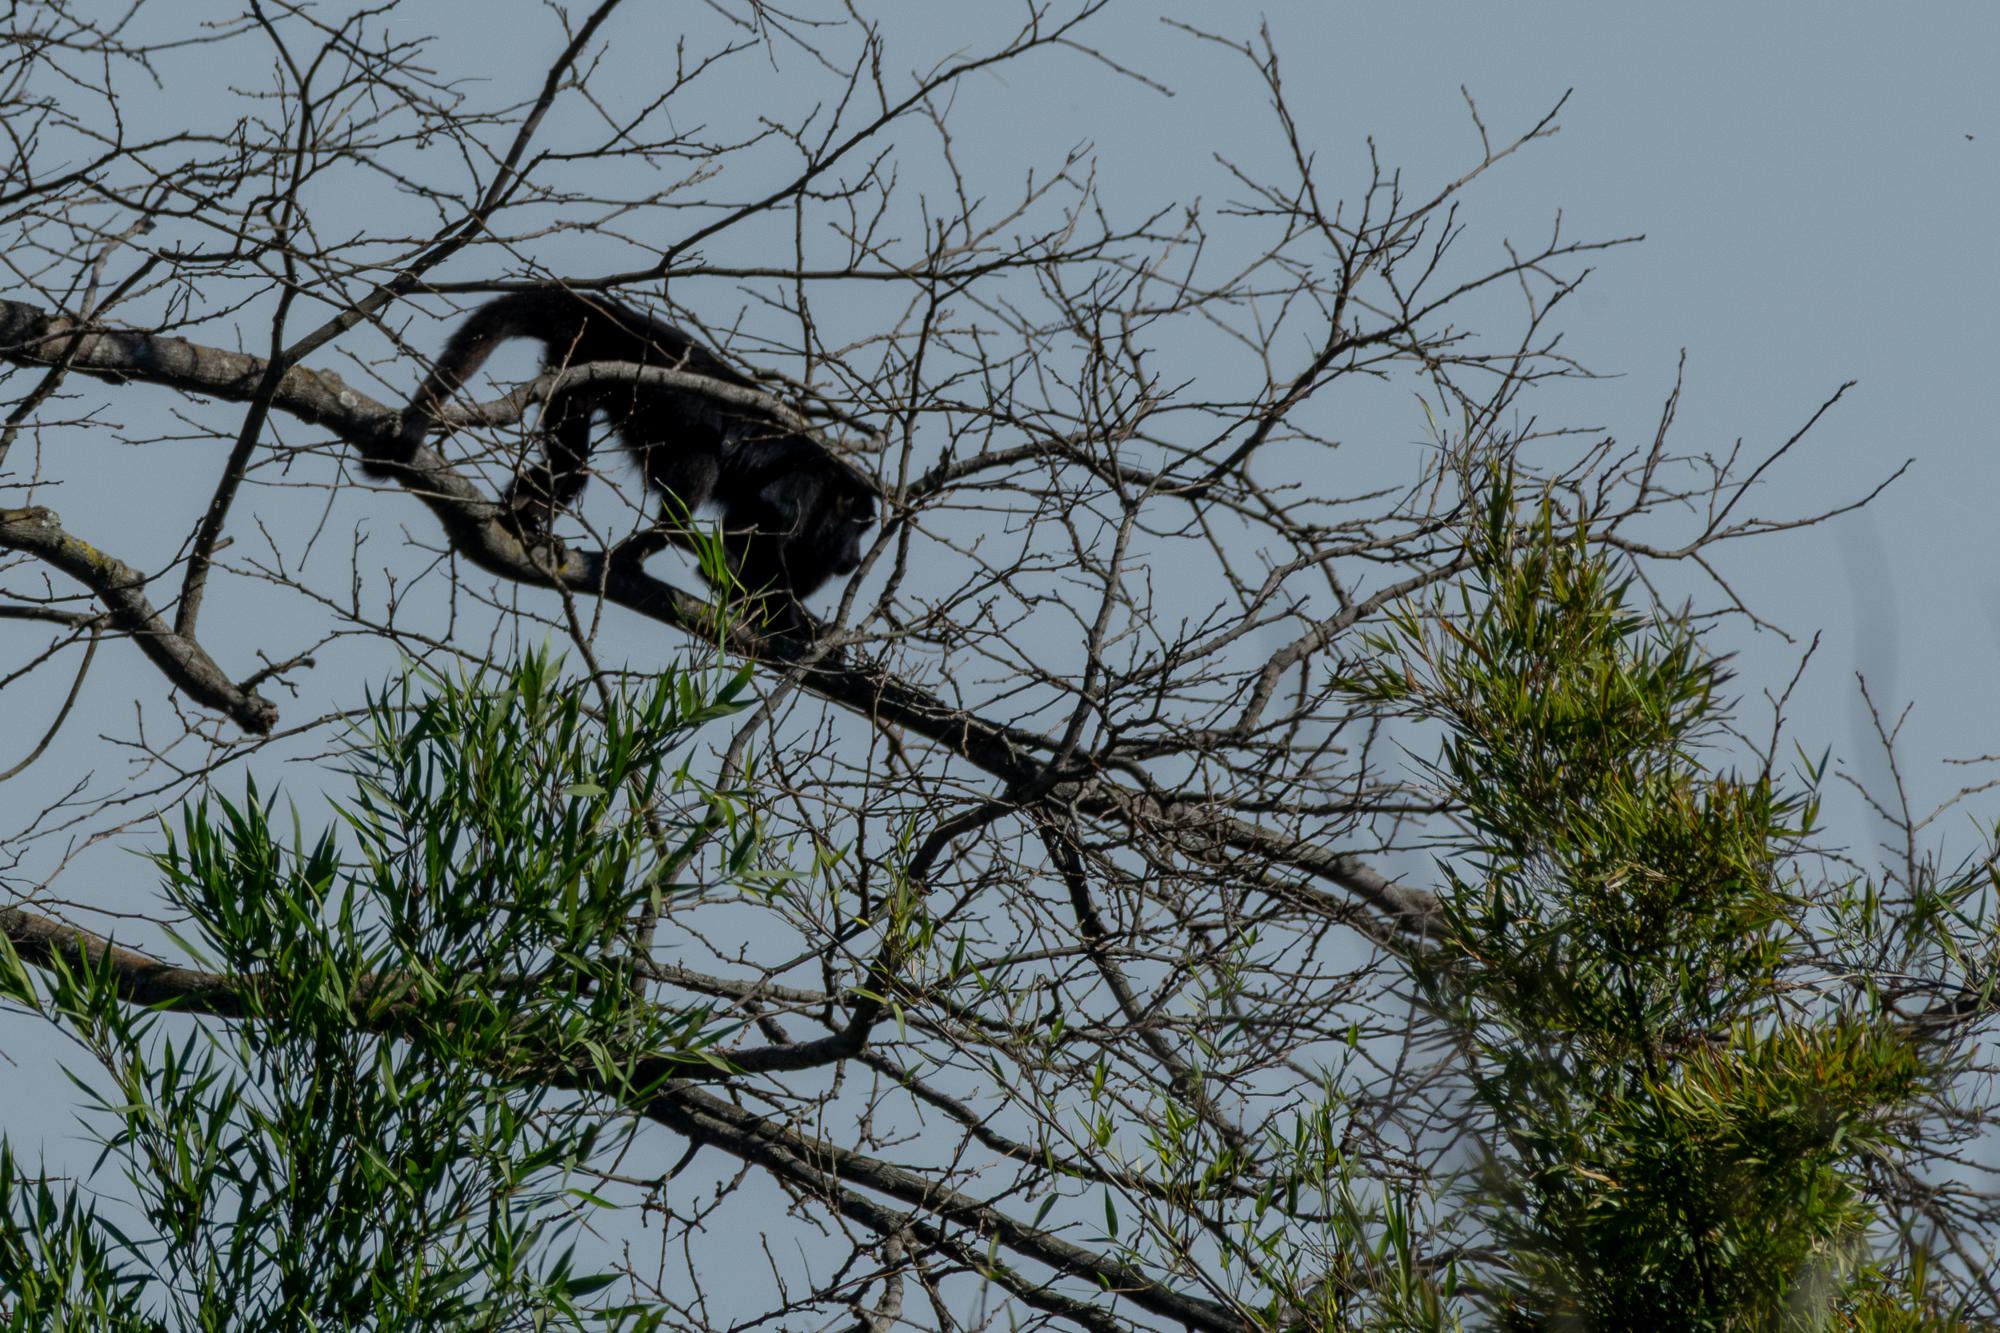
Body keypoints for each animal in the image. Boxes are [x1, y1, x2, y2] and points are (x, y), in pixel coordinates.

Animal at [393, 286, 876, 628]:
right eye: (859, 529)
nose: (854, 557)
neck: (829, 490)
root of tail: (622, 324)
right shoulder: (802, 488)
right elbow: (763, 522)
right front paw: (789, 622)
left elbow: (744, 525)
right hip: (645, 389)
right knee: (698, 463)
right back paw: (659, 539)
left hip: (576, 368)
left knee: (570, 467)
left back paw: (521, 518)